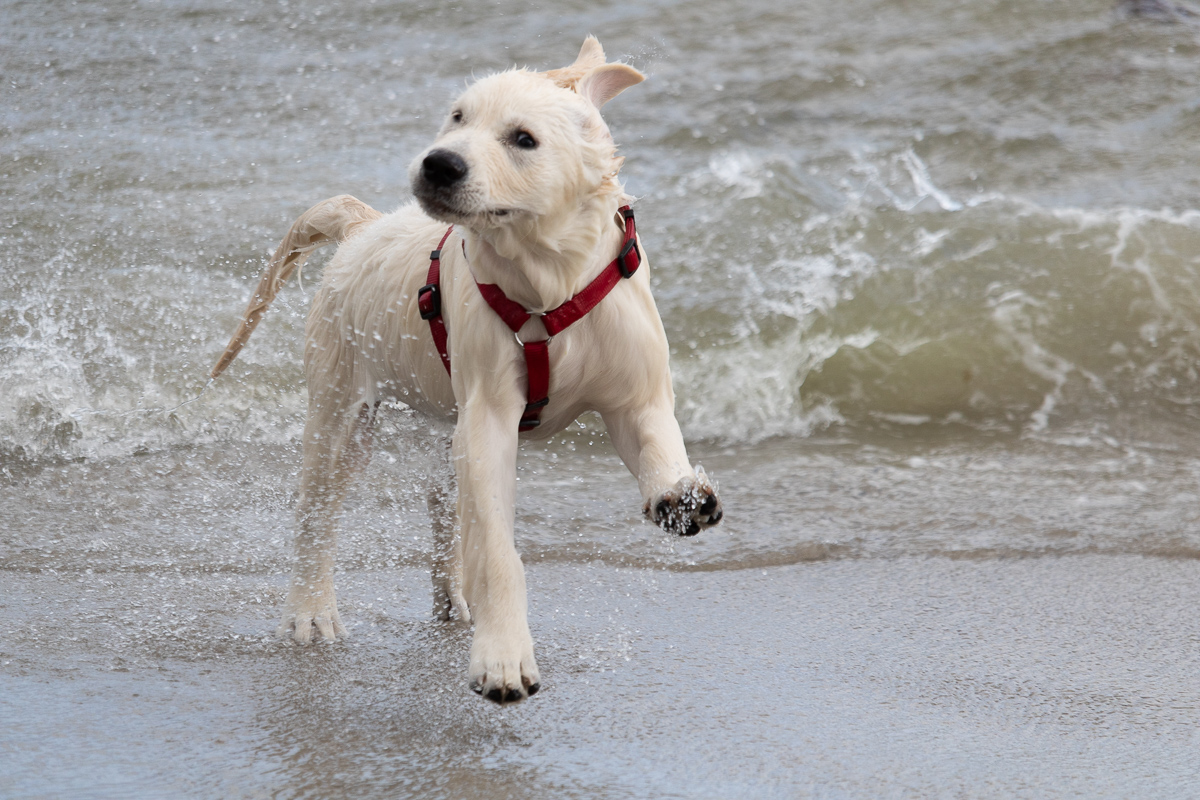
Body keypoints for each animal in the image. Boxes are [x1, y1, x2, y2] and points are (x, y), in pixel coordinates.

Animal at [208, 37, 720, 705]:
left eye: (523, 138)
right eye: (457, 117)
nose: (437, 164)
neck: (550, 278)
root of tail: (364, 226)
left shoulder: (635, 394)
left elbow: (656, 439)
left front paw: (680, 495)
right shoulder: (489, 418)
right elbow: (499, 552)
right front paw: (502, 659)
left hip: (440, 429)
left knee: (445, 506)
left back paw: (454, 601)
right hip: (341, 404)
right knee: (316, 511)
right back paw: (311, 613)